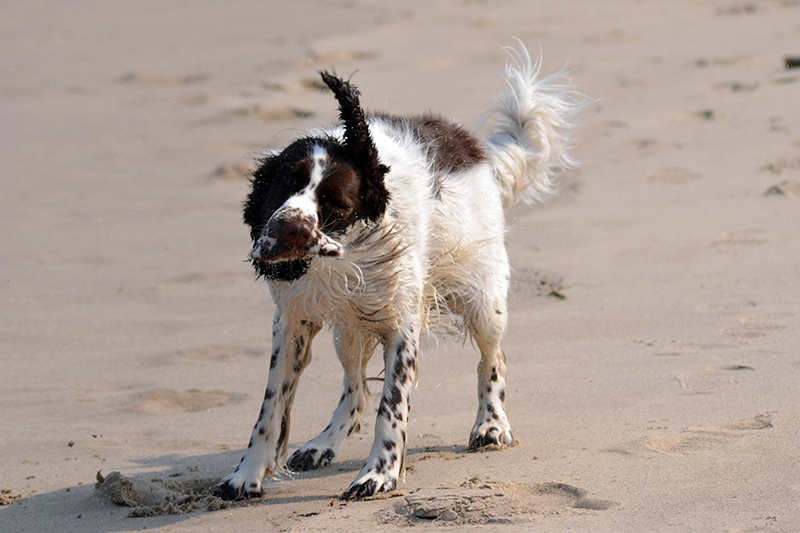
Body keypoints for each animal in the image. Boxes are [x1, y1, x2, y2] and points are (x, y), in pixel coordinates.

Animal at [216, 43, 584, 500]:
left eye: (337, 203)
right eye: (284, 182)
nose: (289, 230)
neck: (345, 256)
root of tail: (473, 145)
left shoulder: (400, 323)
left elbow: (391, 406)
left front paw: (379, 474)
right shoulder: (293, 320)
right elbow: (270, 407)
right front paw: (246, 476)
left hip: (484, 299)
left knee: (492, 358)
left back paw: (491, 425)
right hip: (350, 328)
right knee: (355, 390)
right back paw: (322, 444)